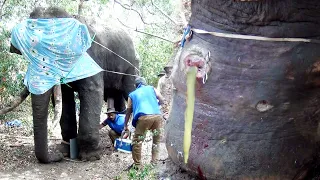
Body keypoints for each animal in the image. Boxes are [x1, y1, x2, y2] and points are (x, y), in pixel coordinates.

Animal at [9, 6, 138, 163]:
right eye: (25, 54)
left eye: (57, 51)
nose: (56, 156)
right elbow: (64, 97)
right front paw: (65, 150)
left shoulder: (91, 57)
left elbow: (93, 90)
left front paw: (90, 156)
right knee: (118, 98)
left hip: (132, 66)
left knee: (130, 91)